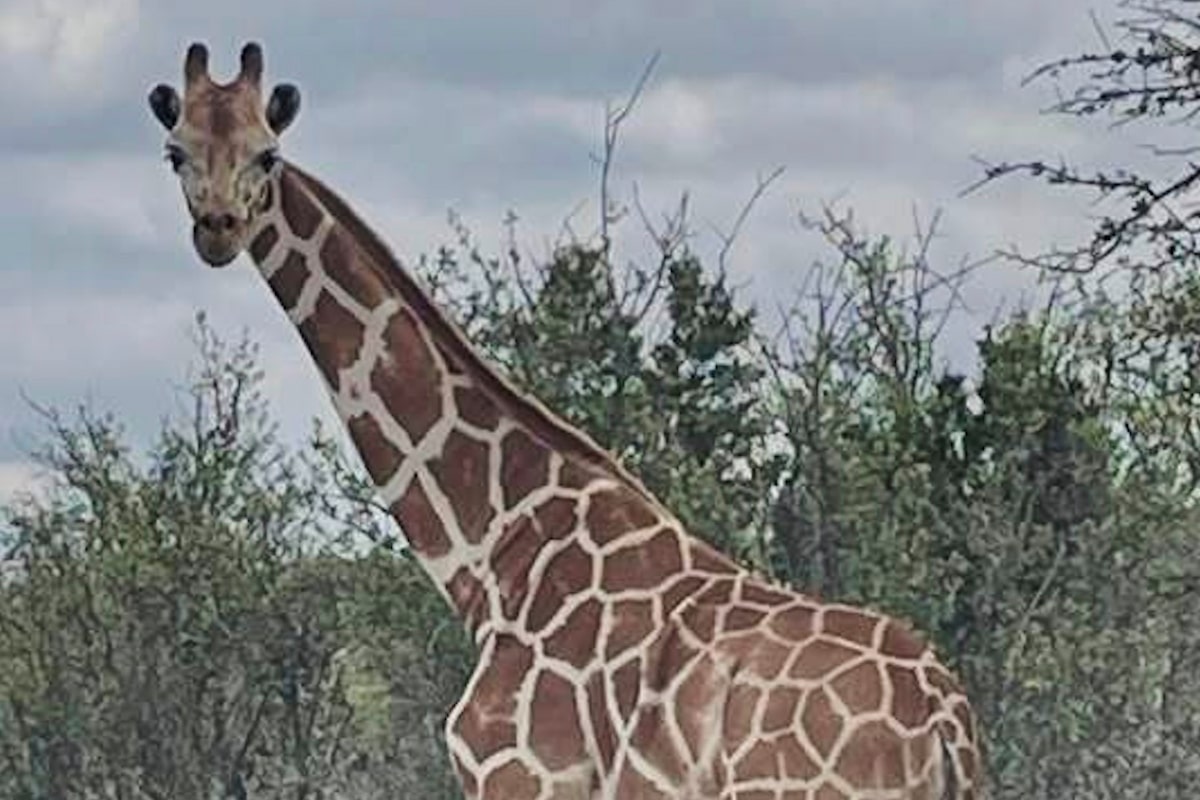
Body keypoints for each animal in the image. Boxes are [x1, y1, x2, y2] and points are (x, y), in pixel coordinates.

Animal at [148, 43, 983, 800]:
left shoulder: (519, 776)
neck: (495, 551)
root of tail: (945, 725)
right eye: (175, 151)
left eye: (267, 156)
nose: (219, 227)